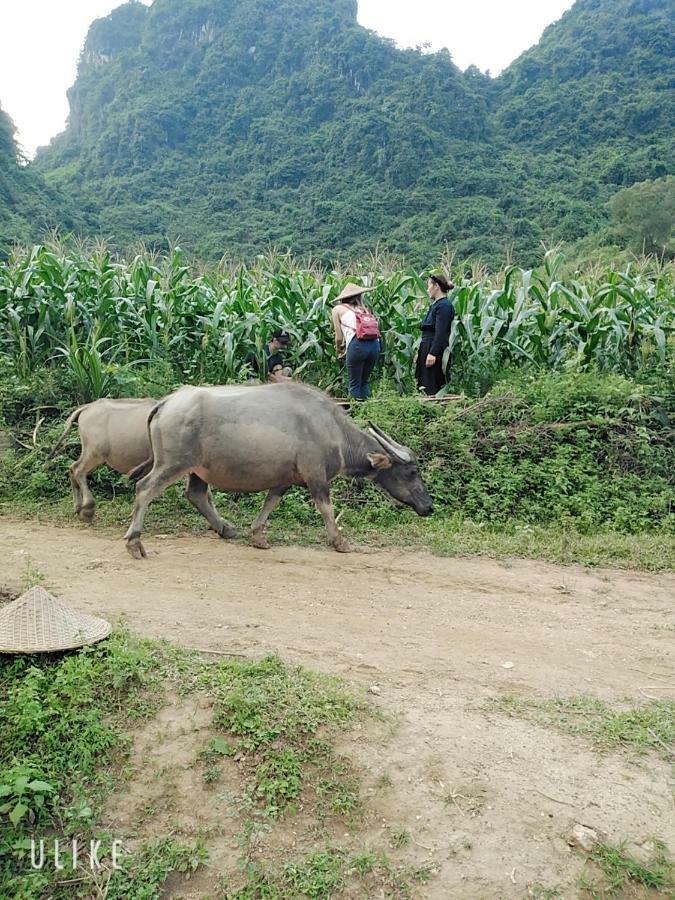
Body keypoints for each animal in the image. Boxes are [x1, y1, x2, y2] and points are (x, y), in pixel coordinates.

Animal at [125, 384, 434, 560]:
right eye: (412, 471)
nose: (428, 506)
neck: (333, 431)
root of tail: (166, 403)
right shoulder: (316, 476)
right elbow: (326, 508)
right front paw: (340, 542)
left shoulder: (285, 479)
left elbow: (271, 502)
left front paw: (257, 536)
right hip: (172, 464)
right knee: (145, 489)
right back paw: (135, 542)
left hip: (197, 469)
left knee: (196, 494)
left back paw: (225, 528)